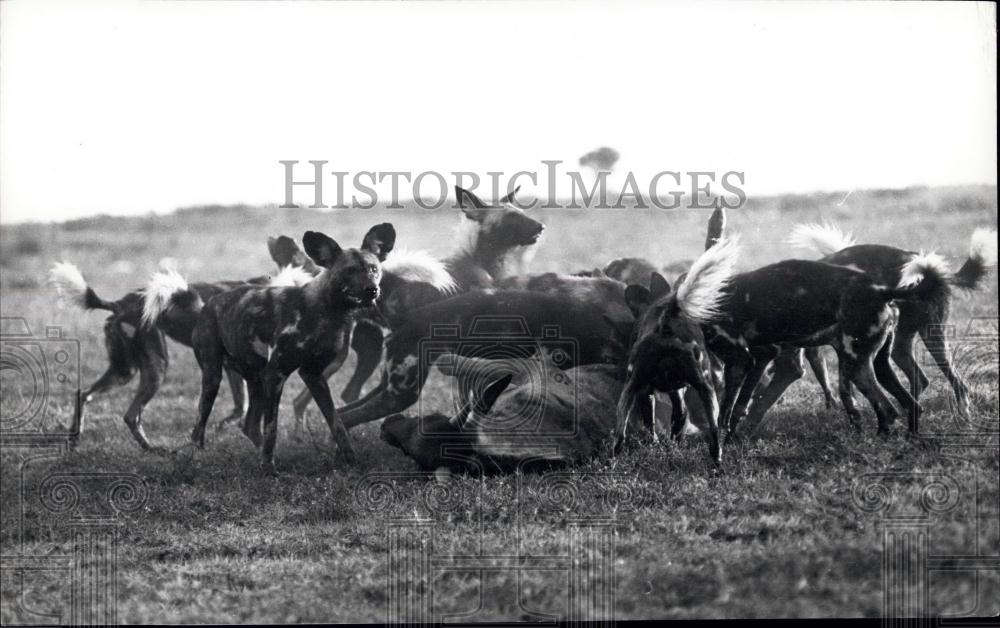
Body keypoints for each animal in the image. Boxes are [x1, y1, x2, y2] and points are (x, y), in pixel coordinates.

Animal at [188, 223, 394, 474]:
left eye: (373, 269)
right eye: (349, 271)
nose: (371, 289)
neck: (325, 312)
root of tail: (209, 304)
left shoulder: (313, 375)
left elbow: (336, 423)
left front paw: (351, 460)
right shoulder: (276, 375)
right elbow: (272, 429)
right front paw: (269, 470)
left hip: (256, 381)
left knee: (249, 425)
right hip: (213, 378)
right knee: (199, 427)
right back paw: (198, 460)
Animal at [292, 185, 544, 422]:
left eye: (521, 213)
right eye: (511, 218)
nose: (541, 226)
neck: (478, 261)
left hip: (361, 355)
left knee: (327, 400)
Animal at [612, 238, 948, 464]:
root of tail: (879, 290)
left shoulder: (739, 361)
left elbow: (727, 410)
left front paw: (726, 440)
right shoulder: (758, 358)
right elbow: (742, 407)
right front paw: (735, 437)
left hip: (856, 364)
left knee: (887, 409)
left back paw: (878, 446)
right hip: (875, 364)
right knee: (908, 406)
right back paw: (907, 441)